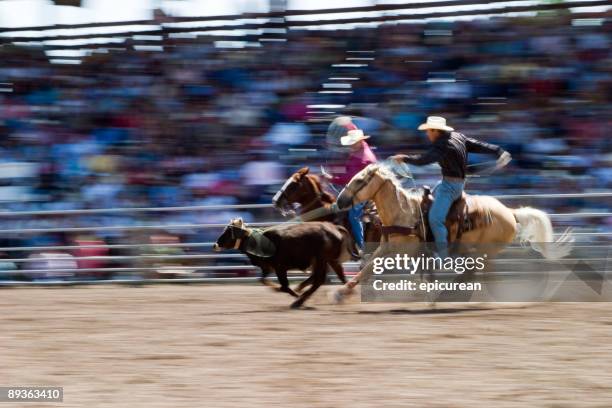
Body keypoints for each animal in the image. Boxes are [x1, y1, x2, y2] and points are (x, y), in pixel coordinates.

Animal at [330, 161, 572, 302]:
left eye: (360, 180)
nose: (340, 201)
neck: (404, 213)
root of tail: (509, 212)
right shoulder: (387, 249)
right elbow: (368, 268)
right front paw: (343, 291)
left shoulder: (400, 252)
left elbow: (370, 269)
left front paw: (340, 293)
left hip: (482, 252)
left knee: (477, 274)